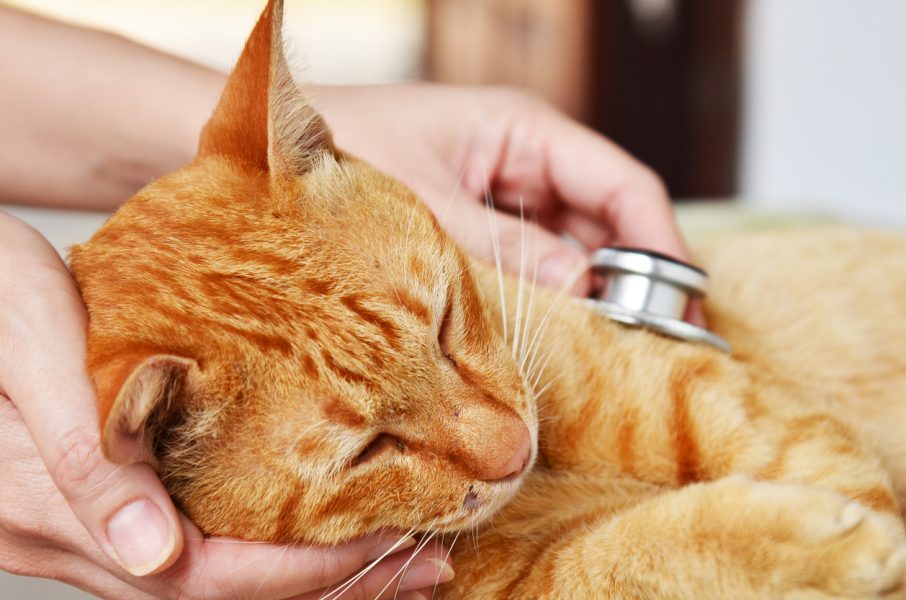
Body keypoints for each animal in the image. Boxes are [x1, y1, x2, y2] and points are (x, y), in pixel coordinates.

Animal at [67, 2, 904, 596]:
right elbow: (626, 556)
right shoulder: (525, 581)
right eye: (369, 449)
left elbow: (836, 471)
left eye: (443, 323)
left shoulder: (710, 394)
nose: (516, 451)